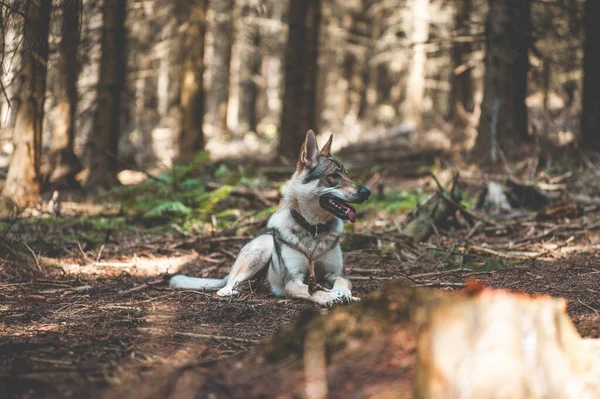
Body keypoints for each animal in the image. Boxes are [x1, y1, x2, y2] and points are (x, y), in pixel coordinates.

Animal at [170, 131, 370, 306]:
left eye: (347, 175)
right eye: (334, 176)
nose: (366, 192)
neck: (313, 229)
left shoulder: (338, 274)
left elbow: (341, 284)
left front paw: (343, 294)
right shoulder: (293, 281)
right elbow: (313, 290)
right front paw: (328, 297)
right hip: (262, 250)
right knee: (227, 285)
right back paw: (232, 291)